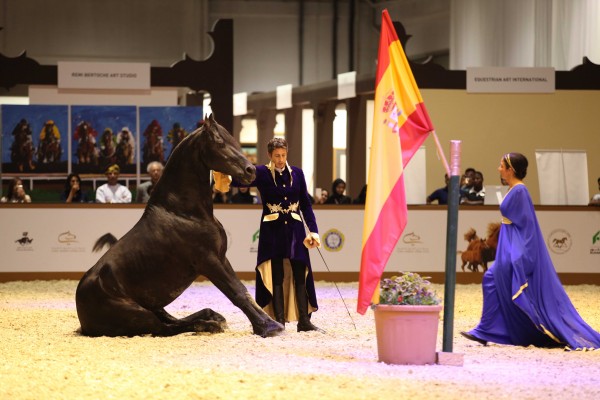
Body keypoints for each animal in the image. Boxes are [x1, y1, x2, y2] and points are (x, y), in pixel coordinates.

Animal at [75, 114, 284, 338]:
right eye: (219, 142)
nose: (250, 170)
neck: (184, 212)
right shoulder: (209, 261)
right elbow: (237, 293)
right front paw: (269, 327)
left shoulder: (220, 257)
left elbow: (242, 290)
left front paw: (269, 323)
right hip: (139, 314)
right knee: (165, 328)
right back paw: (209, 324)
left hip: (154, 307)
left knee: (172, 320)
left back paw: (212, 317)